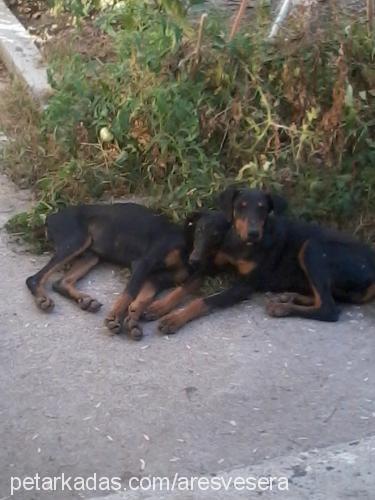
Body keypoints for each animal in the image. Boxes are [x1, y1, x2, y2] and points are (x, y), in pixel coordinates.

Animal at [156, 186, 375, 334]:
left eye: (262, 208)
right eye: (241, 207)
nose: (253, 233)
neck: (240, 244)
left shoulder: (244, 286)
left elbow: (203, 300)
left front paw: (174, 319)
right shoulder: (213, 265)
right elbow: (184, 286)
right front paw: (159, 306)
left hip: (312, 247)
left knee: (329, 308)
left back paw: (282, 307)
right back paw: (288, 297)